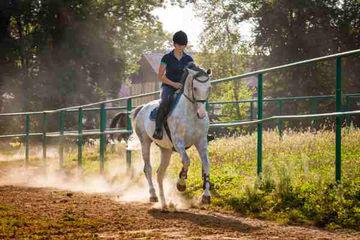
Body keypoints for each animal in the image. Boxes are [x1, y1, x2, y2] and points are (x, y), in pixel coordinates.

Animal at [131, 63, 211, 208]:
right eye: (195, 88)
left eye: (209, 88)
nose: (201, 114)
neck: (191, 113)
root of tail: (142, 107)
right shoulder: (178, 142)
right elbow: (186, 161)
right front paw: (181, 184)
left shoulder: (201, 142)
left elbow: (206, 164)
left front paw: (206, 196)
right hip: (145, 142)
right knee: (148, 169)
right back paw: (153, 195)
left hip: (166, 150)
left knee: (160, 173)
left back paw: (164, 203)